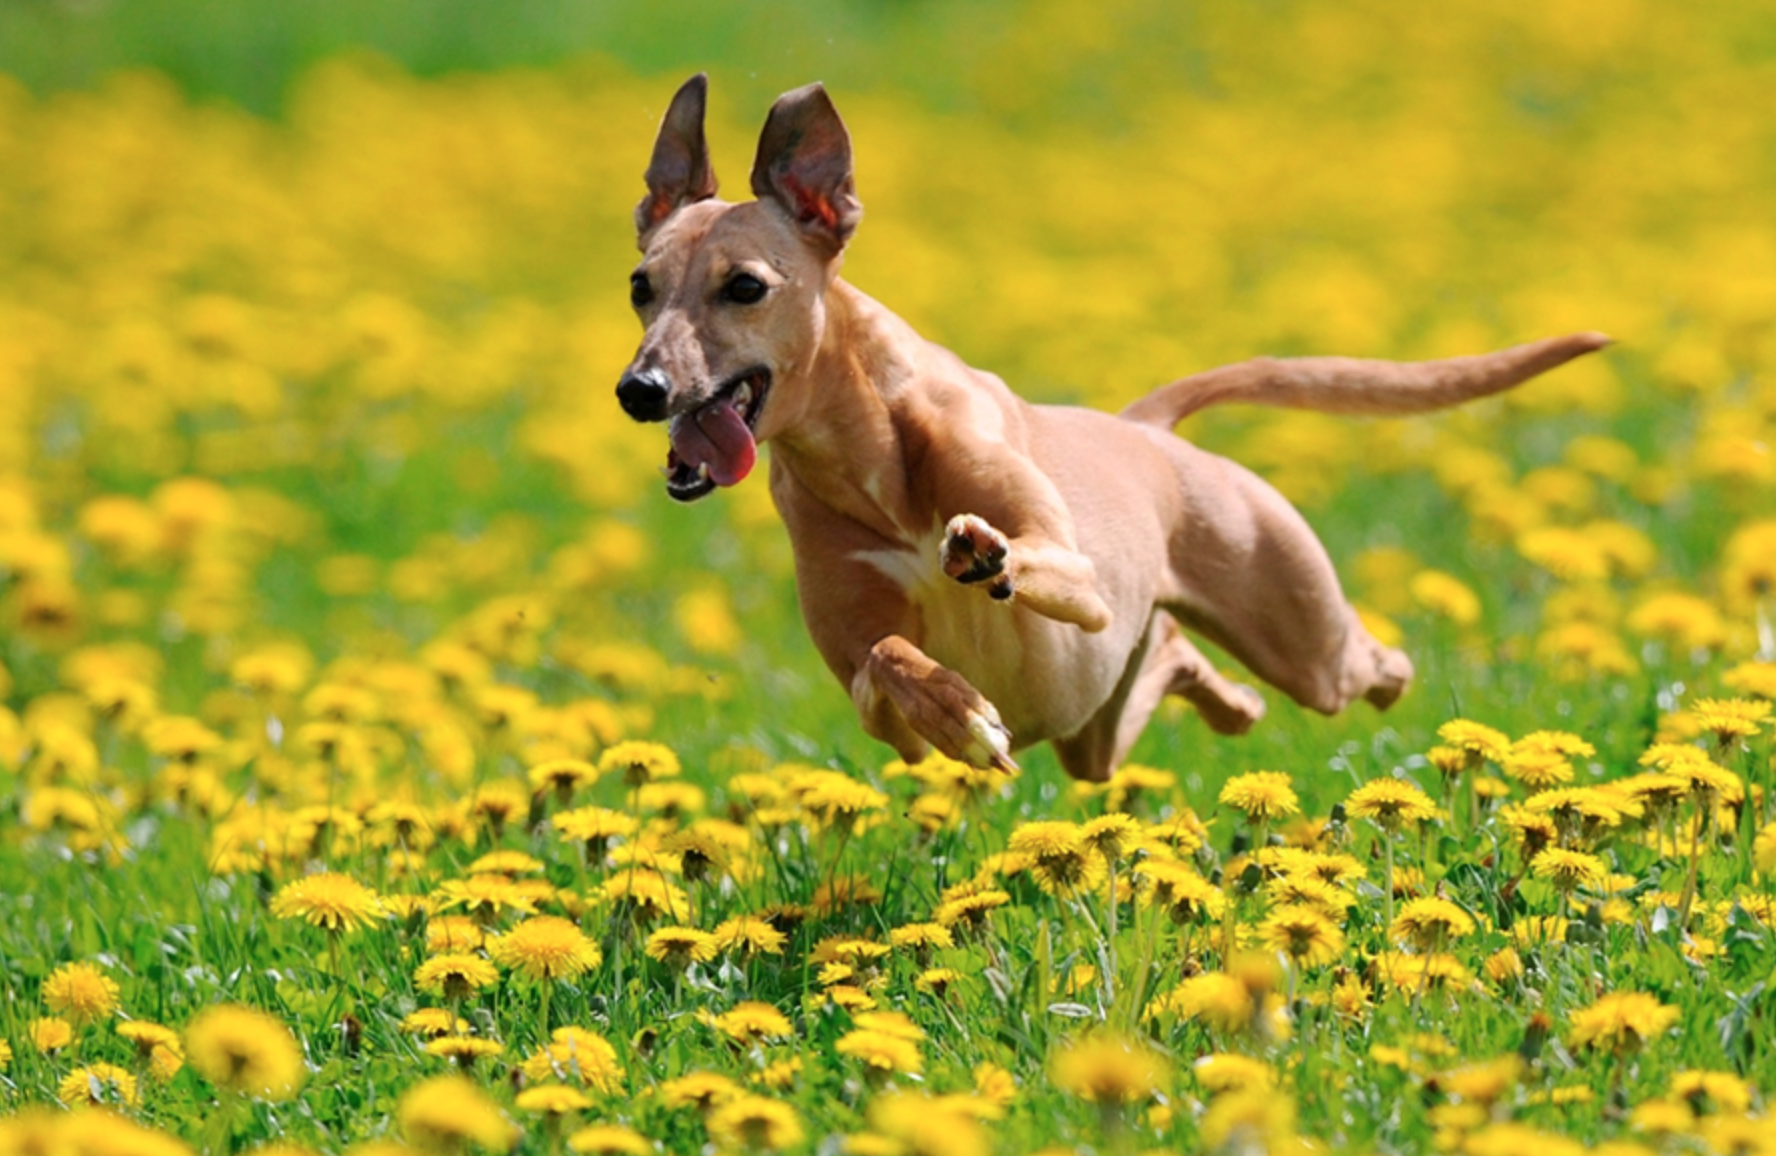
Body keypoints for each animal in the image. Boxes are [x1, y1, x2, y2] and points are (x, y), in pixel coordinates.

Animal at [621, 74, 1612, 788]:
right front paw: (966, 718)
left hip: (1307, 643)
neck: (868, 456)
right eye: (640, 285)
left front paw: (982, 555)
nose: (640, 389)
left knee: (1376, 666)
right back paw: (1222, 699)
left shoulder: (1083, 579)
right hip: (1096, 729)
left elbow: (1030, 557)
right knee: (1180, 673)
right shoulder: (869, 697)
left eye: (745, 286)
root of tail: (1146, 429)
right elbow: (893, 661)